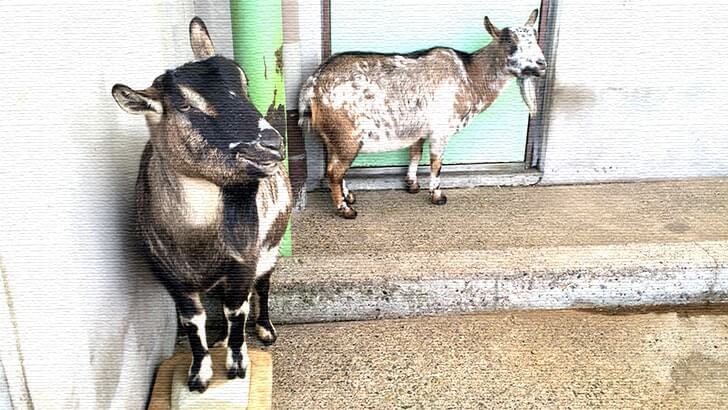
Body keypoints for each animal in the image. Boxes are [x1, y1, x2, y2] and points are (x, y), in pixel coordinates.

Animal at [111, 17, 290, 392]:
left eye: (245, 84)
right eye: (185, 105)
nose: (270, 143)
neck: (196, 239)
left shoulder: (244, 262)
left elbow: (237, 311)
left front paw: (237, 365)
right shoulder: (171, 277)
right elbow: (193, 322)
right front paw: (198, 375)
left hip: (269, 249)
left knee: (262, 286)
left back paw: (265, 329)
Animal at [298, 8, 544, 218]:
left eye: (535, 38)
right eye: (510, 44)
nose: (541, 64)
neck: (469, 75)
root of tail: (312, 86)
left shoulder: (419, 131)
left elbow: (415, 153)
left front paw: (412, 185)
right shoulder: (441, 131)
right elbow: (436, 163)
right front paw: (437, 195)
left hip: (335, 138)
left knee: (334, 167)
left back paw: (349, 196)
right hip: (347, 136)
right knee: (334, 172)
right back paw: (345, 209)